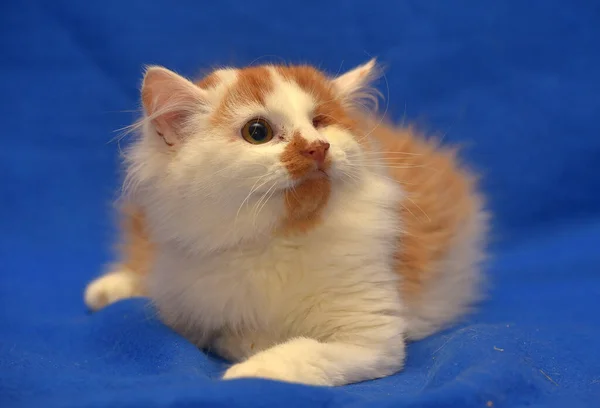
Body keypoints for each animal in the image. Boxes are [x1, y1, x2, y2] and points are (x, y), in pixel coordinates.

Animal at [84, 59, 488, 386]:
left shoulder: (371, 338)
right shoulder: (186, 302)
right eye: (257, 132)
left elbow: (301, 352)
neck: (278, 237)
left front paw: (247, 371)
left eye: (320, 122)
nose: (318, 146)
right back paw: (106, 290)